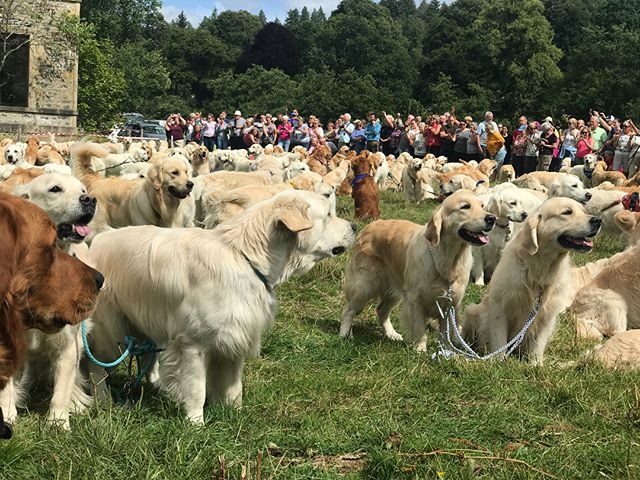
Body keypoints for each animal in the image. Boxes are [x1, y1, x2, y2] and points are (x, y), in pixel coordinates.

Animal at [85, 191, 358, 424]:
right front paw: (196, 424)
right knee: (97, 365)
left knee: (147, 358)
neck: (244, 257)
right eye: (328, 215)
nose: (355, 227)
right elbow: (197, 389)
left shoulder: (235, 337)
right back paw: (103, 399)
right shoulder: (193, 344)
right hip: (111, 330)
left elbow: (233, 386)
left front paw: (235, 414)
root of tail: (97, 240)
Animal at [462, 196, 604, 364]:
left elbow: (538, 343)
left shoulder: (546, 315)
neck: (540, 268)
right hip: (472, 310)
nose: (598, 220)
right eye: (567, 212)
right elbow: (499, 340)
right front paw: (498, 361)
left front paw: (535, 364)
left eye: (584, 211)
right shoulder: (499, 307)